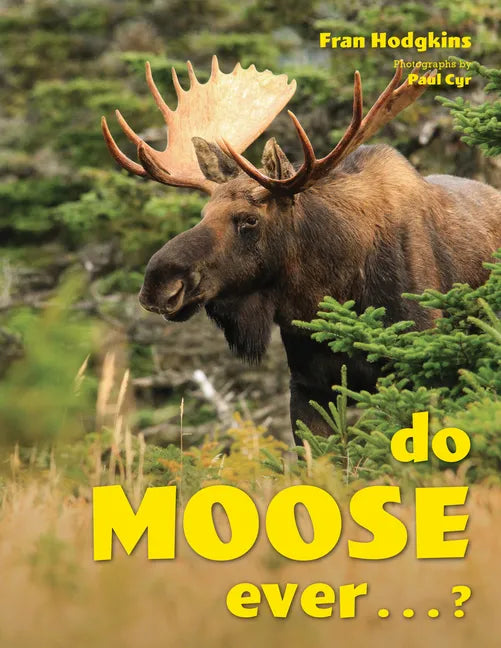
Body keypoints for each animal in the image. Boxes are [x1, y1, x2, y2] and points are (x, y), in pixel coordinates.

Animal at [101, 56, 501, 440]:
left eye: (249, 220)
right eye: (203, 213)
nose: (158, 283)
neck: (335, 290)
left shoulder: (417, 366)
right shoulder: (308, 384)